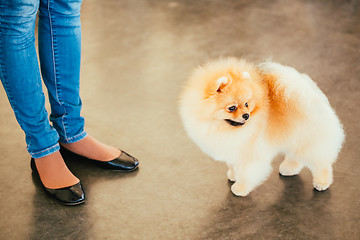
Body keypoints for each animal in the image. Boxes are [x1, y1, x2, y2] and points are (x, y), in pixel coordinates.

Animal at [179, 58, 344, 197]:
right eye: (232, 108)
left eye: (246, 104)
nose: (246, 115)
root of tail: (311, 96)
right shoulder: (234, 149)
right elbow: (233, 165)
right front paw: (233, 175)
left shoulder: (251, 153)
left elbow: (246, 172)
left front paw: (240, 188)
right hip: (295, 138)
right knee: (296, 156)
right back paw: (289, 168)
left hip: (309, 141)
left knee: (321, 164)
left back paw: (322, 182)